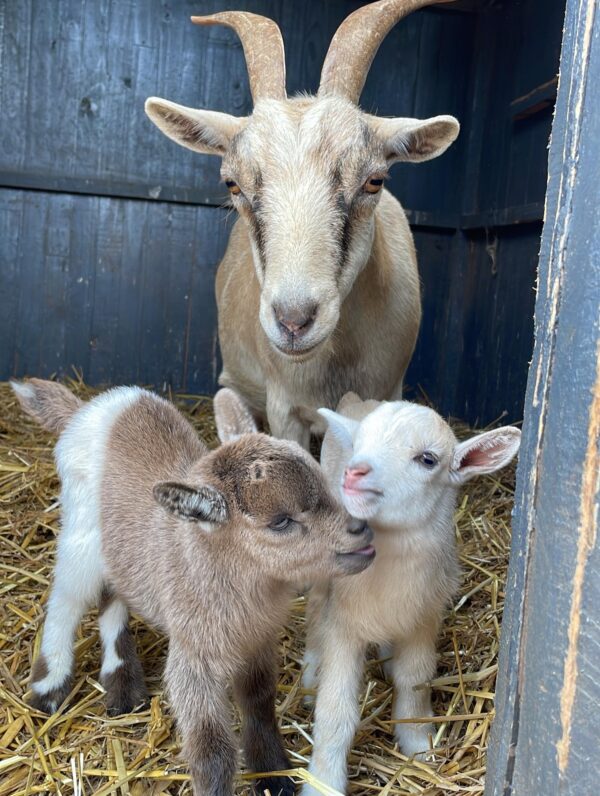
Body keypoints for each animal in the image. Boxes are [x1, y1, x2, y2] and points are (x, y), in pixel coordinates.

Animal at [11, 379, 375, 796]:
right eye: (280, 521)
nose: (361, 529)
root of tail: (91, 406)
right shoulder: (193, 656)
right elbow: (210, 747)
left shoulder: (257, 640)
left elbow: (259, 702)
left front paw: (275, 776)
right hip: (81, 532)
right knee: (66, 599)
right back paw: (48, 687)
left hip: (116, 548)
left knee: (113, 593)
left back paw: (122, 684)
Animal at [301, 392, 521, 794]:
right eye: (359, 444)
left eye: (428, 459)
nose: (354, 472)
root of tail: (358, 399)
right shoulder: (344, 626)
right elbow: (337, 710)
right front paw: (323, 780)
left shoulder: (424, 620)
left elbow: (415, 681)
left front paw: (420, 746)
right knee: (315, 606)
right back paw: (310, 671)